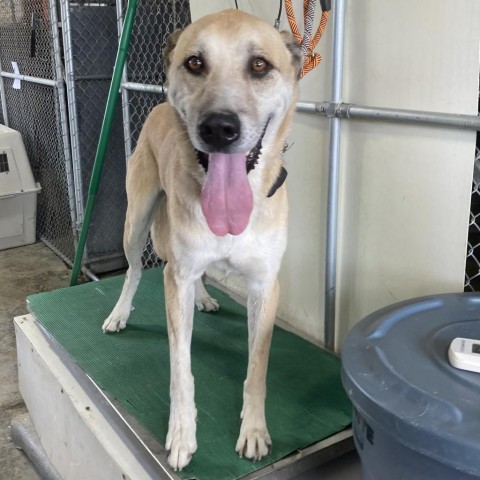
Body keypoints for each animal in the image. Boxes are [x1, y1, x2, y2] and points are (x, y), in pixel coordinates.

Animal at [102, 9, 300, 470]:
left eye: (259, 65)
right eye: (195, 63)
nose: (219, 128)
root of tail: (158, 105)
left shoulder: (265, 286)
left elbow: (257, 367)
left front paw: (254, 430)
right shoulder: (176, 277)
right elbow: (180, 367)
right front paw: (181, 434)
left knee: (199, 277)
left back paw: (206, 297)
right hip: (136, 221)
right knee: (134, 271)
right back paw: (120, 313)